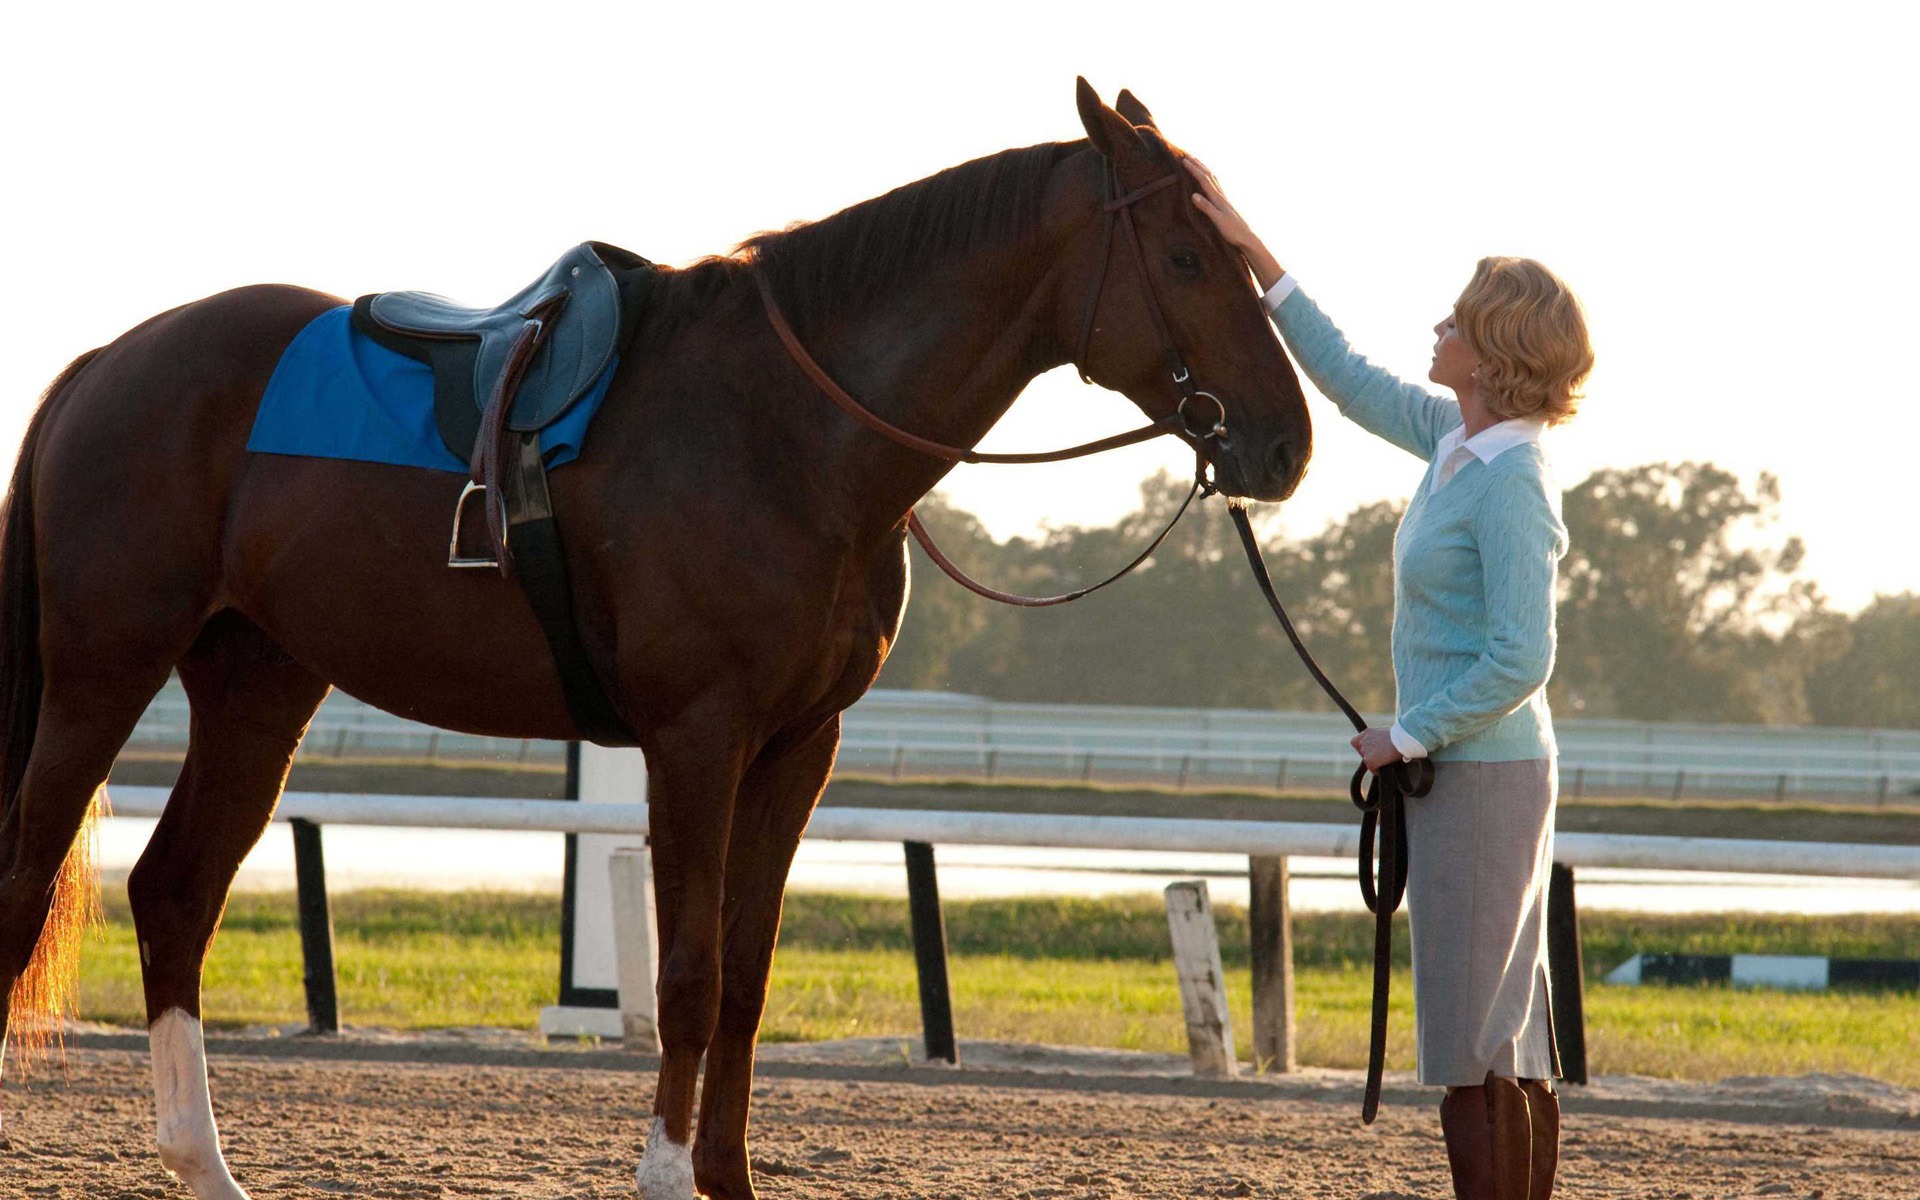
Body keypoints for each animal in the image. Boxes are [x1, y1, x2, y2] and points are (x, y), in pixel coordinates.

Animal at [0, 79, 1305, 1190]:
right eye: (1186, 255)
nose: (1286, 443)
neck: (790, 433)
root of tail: (109, 360)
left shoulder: (799, 747)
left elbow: (744, 975)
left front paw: (726, 1176)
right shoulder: (698, 738)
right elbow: (686, 973)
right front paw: (670, 1174)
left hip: (259, 684)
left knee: (175, 893)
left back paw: (206, 1167)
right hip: (100, 676)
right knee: (28, 882)